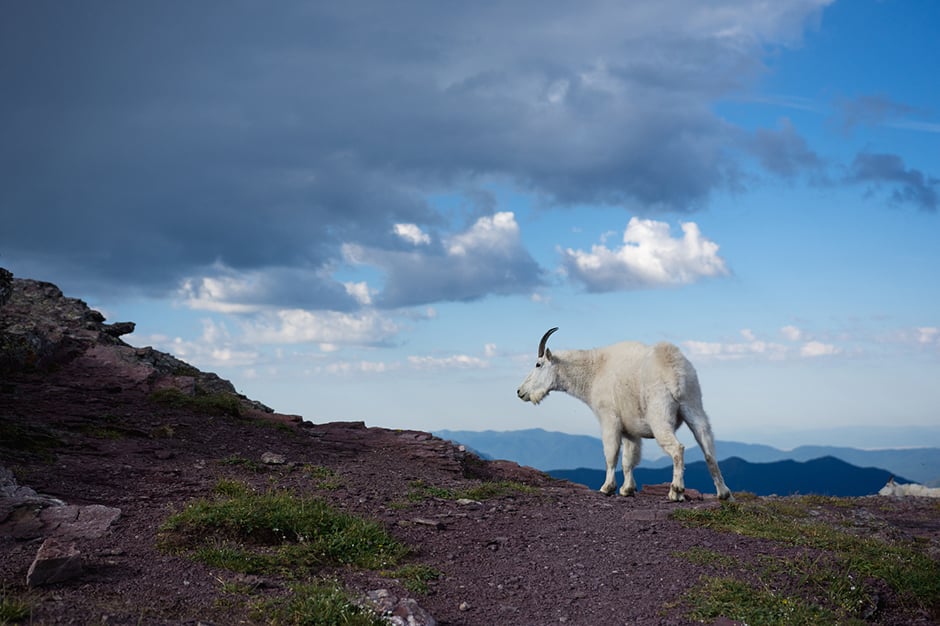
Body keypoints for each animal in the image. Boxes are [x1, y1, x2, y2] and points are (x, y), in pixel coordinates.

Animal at [516, 330, 732, 500]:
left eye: (538, 364)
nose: (520, 391)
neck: (595, 372)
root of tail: (674, 372)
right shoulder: (630, 430)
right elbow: (629, 459)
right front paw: (627, 489)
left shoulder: (609, 419)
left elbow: (611, 454)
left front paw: (607, 488)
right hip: (694, 405)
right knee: (708, 449)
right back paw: (723, 493)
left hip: (659, 415)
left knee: (677, 448)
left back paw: (676, 491)